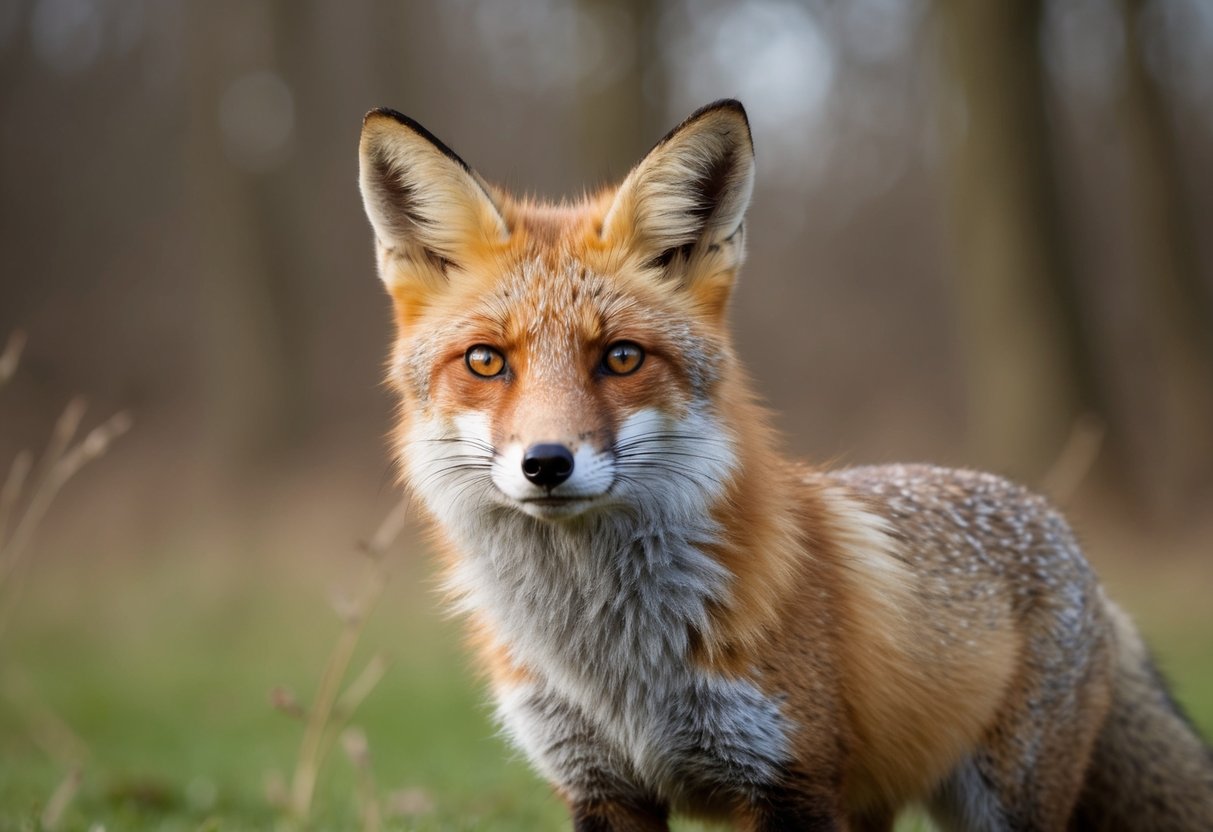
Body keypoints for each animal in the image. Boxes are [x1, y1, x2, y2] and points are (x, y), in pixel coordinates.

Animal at [356, 99, 1213, 830]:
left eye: (621, 357)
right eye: (486, 361)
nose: (545, 463)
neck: (615, 667)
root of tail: (1056, 527)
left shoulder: (789, 777)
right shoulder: (602, 786)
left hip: (1000, 801)